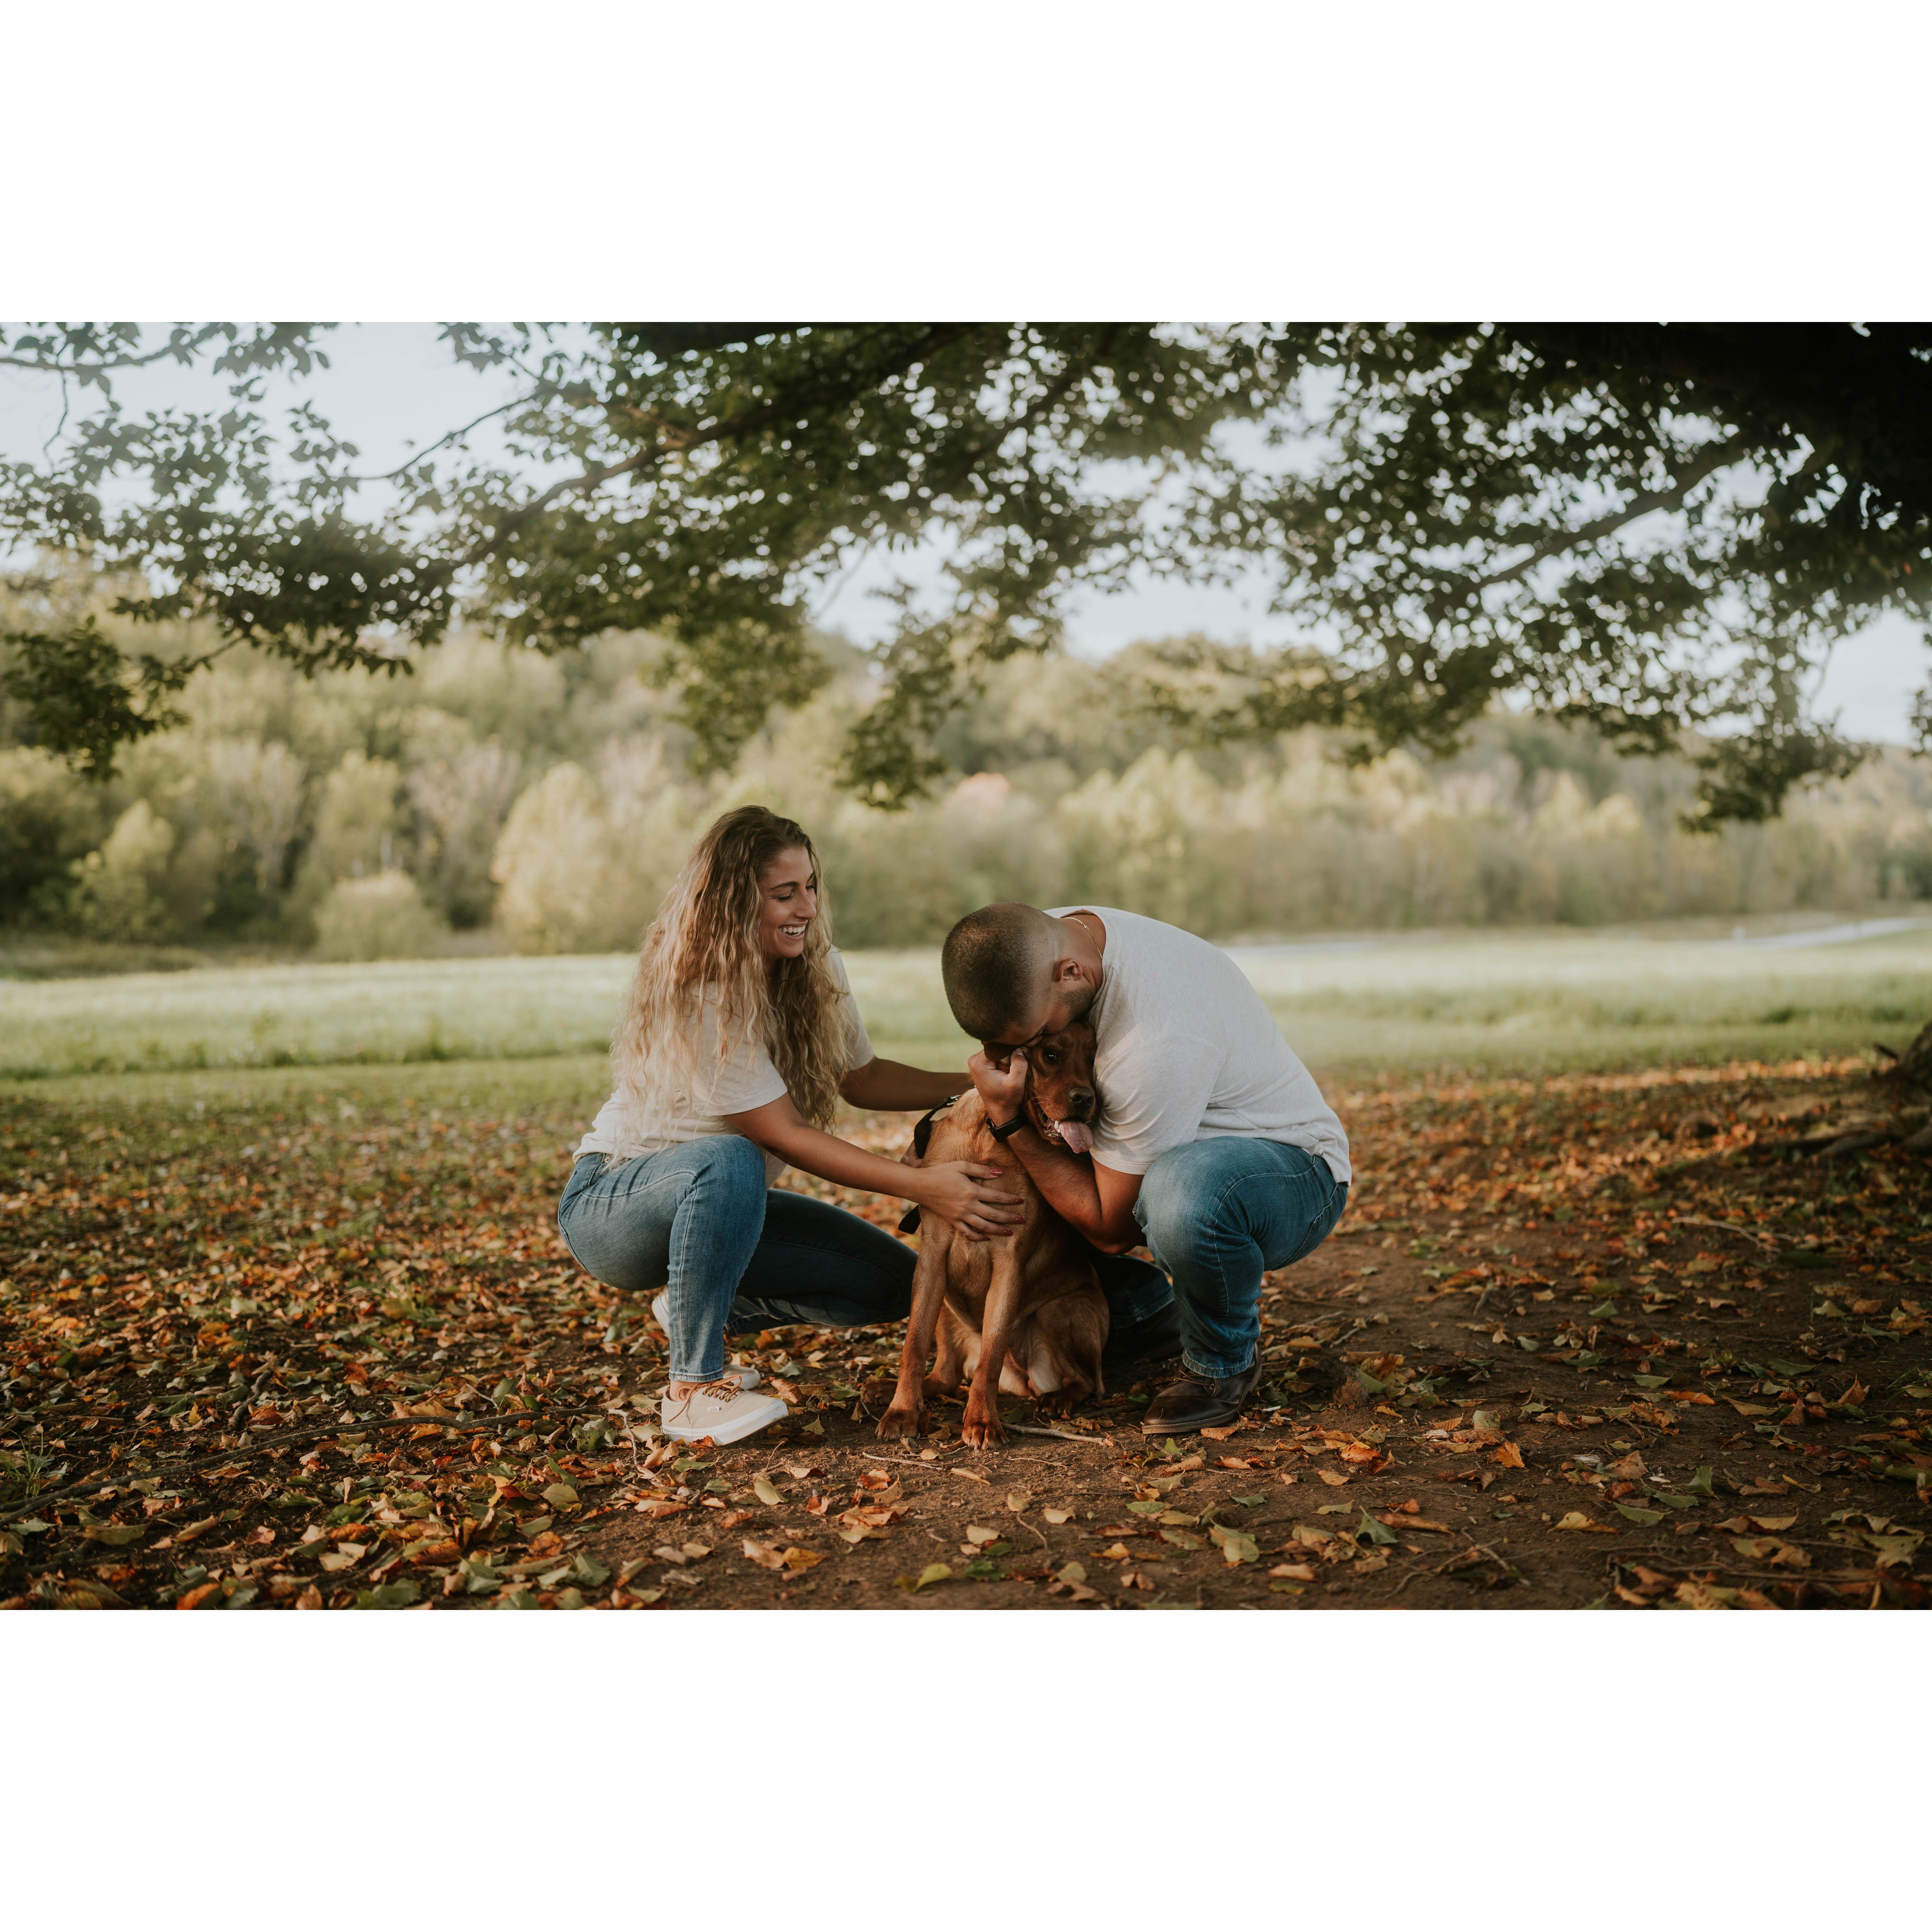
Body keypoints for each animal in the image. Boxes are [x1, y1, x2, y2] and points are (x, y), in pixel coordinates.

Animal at [877, 1019, 1109, 1449]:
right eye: (1051, 1054)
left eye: (1094, 1058)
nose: (1087, 1099)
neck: (989, 1136)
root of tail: (1023, 1379)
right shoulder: (932, 1257)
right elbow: (913, 1346)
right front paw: (901, 1411)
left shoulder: (1009, 1263)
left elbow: (992, 1352)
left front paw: (982, 1420)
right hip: (945, 1308)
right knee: (946, 1377)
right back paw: (888, 1390)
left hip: (1061, 1309)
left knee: (1086, 1381)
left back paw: (1058, 1399)